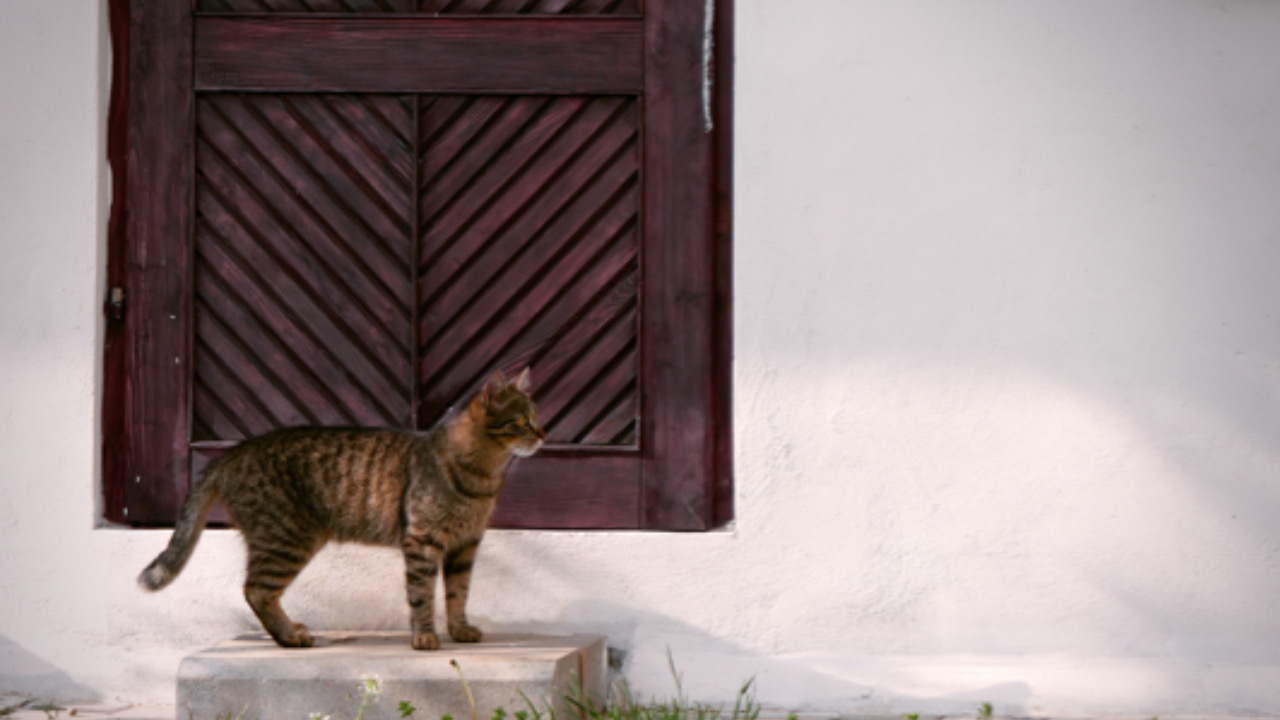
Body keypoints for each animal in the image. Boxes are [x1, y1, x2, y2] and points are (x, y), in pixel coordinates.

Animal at [136, 366, 545, 648]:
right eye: (522, 421)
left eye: (537, 418)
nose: (543, 434)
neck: (483, 475)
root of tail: (233, 452)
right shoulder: (423, 541)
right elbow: (422, 596)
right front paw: (425, 637)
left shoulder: (465, 545)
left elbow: (458, 595)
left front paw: (459, 630)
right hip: (286, 539)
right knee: (256, 590)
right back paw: (290, 637)